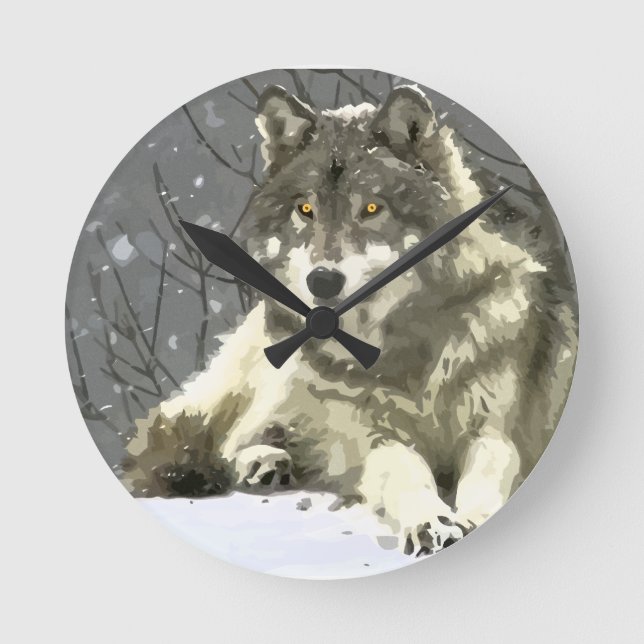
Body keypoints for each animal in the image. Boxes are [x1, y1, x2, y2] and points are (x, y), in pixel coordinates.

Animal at [121, 83, 578, 556]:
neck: (401, 354)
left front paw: (472, 519)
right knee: (232, 438)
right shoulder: (367, 435)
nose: (322, 280)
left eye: (372, 208)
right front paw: (429, 521)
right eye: (305, 209)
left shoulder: (494, 429)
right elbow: (403, 468)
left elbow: (487, 477)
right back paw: (264, 462)